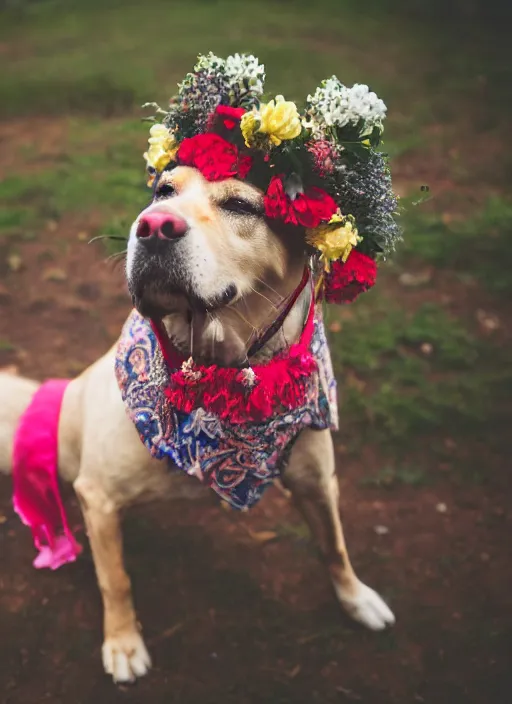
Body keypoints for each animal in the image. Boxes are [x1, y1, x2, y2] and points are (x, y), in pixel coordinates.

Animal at [0, 165, 396, 680]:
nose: (152, 226)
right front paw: (123, 642)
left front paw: (355, 598)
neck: (221, 373)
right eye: (162, 190)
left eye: (242, 205)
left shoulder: (318, 482)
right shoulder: (99, 495)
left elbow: (335, 544)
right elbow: (115, 579)